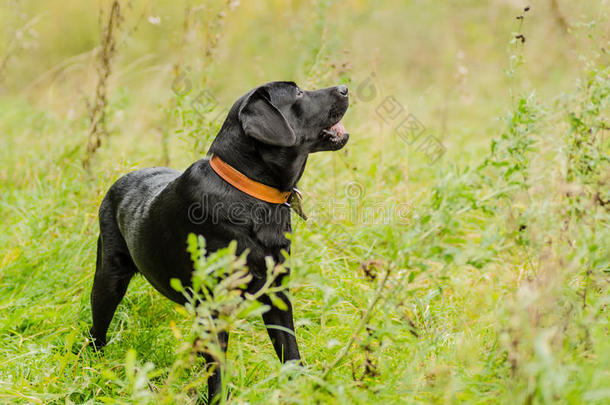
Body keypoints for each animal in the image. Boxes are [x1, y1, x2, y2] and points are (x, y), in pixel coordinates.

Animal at [88, 79, 350, 400]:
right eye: (298, 93)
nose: (345, 88)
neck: (250, 191)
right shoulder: (213, 308)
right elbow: (217, 371)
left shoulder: (277, 293)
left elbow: (290, 352)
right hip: (108, 280)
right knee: (97, 333)